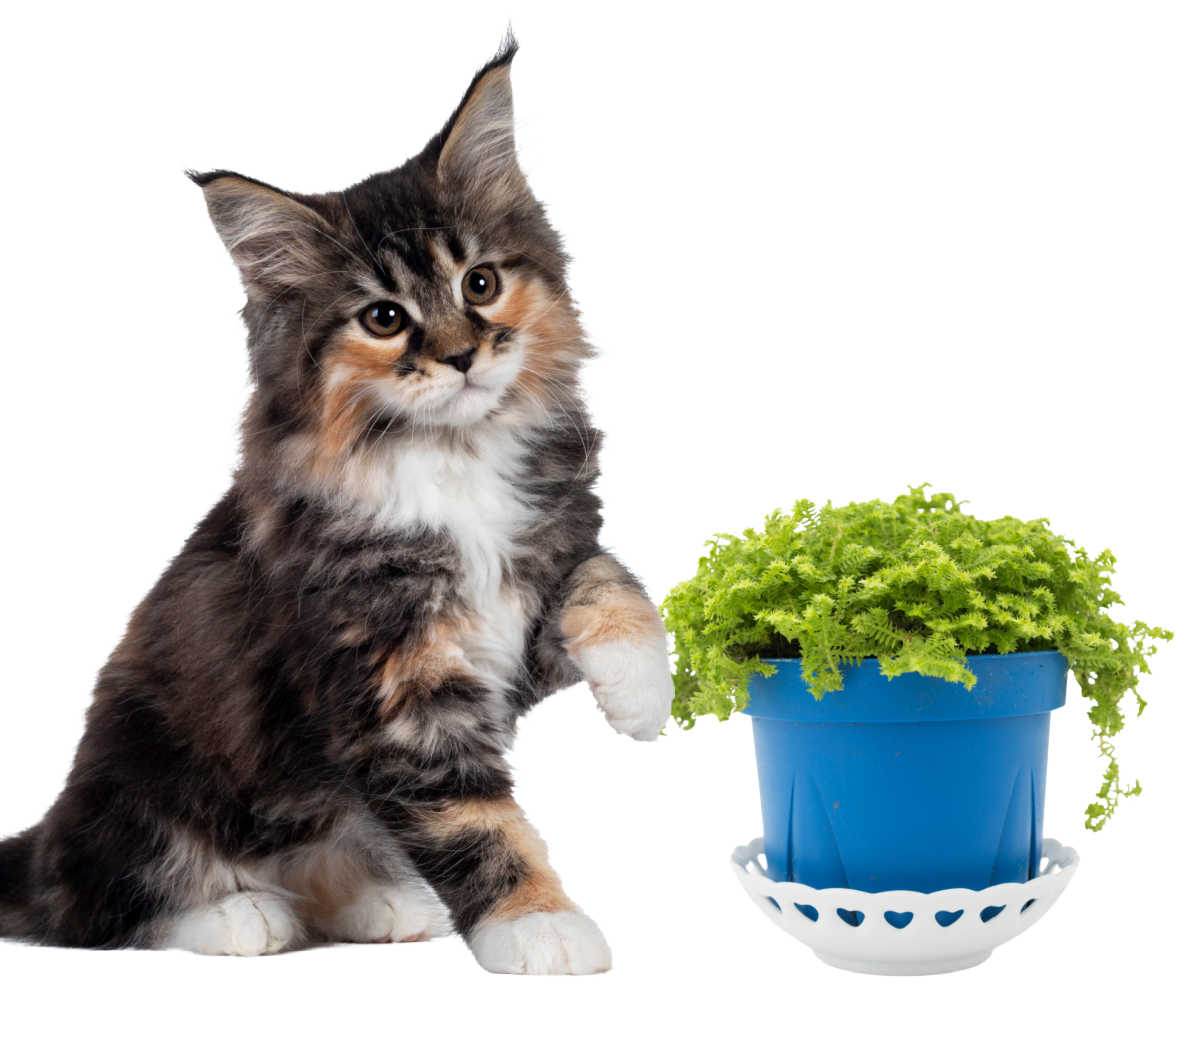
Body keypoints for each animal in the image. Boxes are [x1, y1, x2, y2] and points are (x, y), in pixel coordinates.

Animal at [0, 40, 676, 974]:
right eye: (384, 317)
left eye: (481, 282)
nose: (462, 356)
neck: (449, 459)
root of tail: (42, 840)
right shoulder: (393, 681)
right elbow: (471, 818)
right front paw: (538, 921)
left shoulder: (520, 608)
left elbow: (608, 575)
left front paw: (639, 689)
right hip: (137, 780)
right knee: (98, 905)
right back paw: (237, 914)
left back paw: (379, 902)